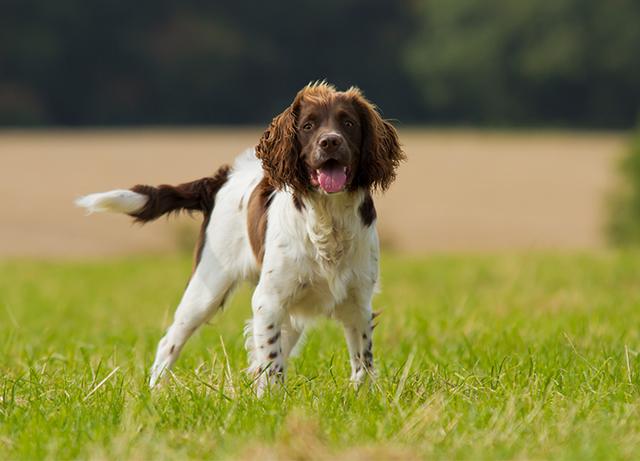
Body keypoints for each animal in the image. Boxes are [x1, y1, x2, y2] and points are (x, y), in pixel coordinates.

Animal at [76, 82, 404, 392]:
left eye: (348, 123)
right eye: (308, 126)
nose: (330, 141)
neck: (327, 217)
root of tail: (220, 179)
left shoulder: (358, 302)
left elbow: (362, 361)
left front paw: (363, 397)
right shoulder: (268, 299)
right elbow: (272, 364)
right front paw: (271, 402)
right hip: (206, 289)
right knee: (170, 342)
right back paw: (155, 392)